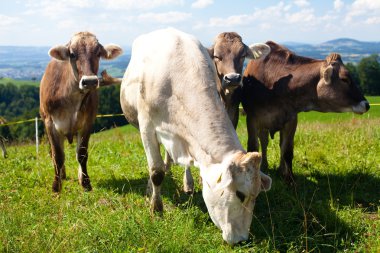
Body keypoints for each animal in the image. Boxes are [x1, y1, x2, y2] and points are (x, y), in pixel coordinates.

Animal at [39, 32, 121, 193]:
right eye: (72, 54)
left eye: (98, 53)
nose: (89, 81)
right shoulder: (50, 123)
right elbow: (57, 155)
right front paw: (56, 187)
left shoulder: (88, 122)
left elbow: (82, 154)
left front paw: (86, 183)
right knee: (53, 153)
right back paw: (62, 175)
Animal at [120, 28, 272, 245]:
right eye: (240, 194)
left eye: (257, 195)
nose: (243, 239)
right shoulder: (146, 126)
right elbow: (156, 171)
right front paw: (156, 208)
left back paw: (187, 182)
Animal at [242, 41, 370, 184]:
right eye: (345, 79)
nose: (367, 104)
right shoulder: (252, 118)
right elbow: (253, 147)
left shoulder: (291, 119)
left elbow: (287, 150)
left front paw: (290, 179)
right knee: (264, 142)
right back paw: (264, 165)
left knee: (280, 144)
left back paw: (281, 169)